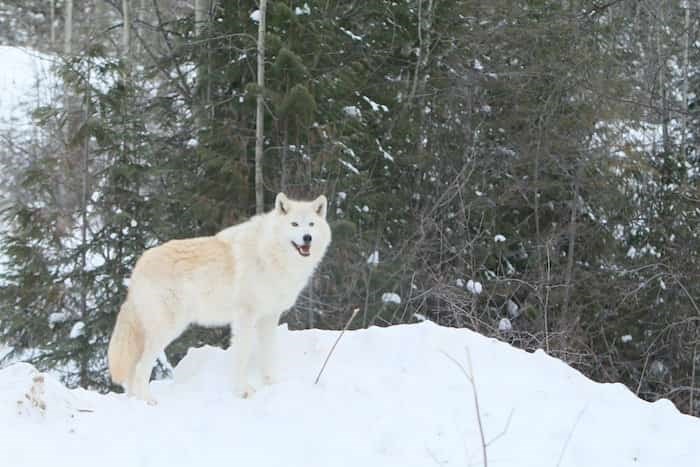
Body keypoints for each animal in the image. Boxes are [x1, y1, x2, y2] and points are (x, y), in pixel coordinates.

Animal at [107, 193, 330, 402]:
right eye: (294, 224)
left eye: (311, 224)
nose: (307, 237)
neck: (270, 254)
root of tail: (138, 266)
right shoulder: (245, 317)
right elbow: (242, 355)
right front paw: (243, 391)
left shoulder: (269, 317)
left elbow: (268, 354)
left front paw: (272, 385)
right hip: (166, 330)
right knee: (140, 368)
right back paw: (148, 401)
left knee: (132, 370)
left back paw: (135, 400)